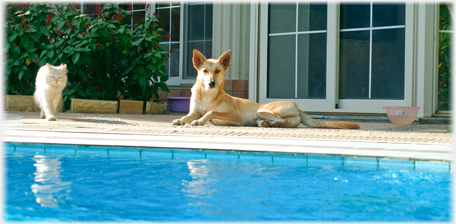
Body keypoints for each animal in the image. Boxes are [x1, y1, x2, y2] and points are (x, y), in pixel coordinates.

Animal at [172, 49, 360, 130]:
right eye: (204, 71)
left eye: (217, 71)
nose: (211, 83)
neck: (208, 95)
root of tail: (296, 106)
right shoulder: (194, 111)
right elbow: (188, 116)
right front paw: (180, 120)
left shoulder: (234, 116)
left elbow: (210, 113)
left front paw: (199, 121)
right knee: (285, 123)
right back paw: (269, 124)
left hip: (262, 110)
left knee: (282, 121)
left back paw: (270, 123)